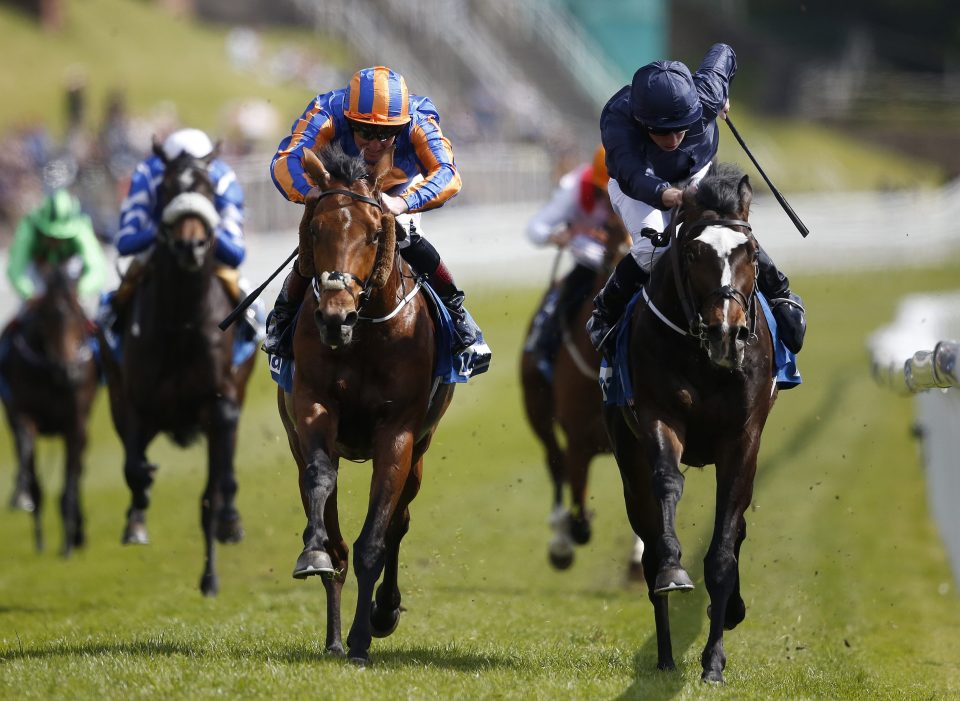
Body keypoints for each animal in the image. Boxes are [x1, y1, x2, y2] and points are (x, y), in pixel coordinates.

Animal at [0, 262, 98, 552]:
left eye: (78, 316)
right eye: (45, 317)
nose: (68, 372)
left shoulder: (75, 423)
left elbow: (70, 483)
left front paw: (68, 543)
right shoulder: (23, 414)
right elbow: (28, 463)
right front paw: (21, 497)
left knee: (79, 471)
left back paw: (77, 533)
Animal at [98, 144, 255, 596]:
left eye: (208, 189)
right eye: (166, 188)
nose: (192, 245)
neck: (182, 322)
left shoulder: (218, 406)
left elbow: (211, 495)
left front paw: (210, 578)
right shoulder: (134, 403)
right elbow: (133, 469)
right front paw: (141, 501)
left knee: (227, 470)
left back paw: (230, 521)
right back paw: (136, 518)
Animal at [280, 144, 456, 660]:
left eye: (375, 232)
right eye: (315, 229)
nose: (334, 317)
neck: (364, 335)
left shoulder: (398, 433)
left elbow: (375, 540)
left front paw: (363, 637)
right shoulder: (313, 408)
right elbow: (322, 487)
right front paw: (314, 553)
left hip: (420, 451)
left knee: (399, 521)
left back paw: (380, 613)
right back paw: (333, 637)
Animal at [608, 163, 780, 680]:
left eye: (750, 251)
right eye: (692, 252)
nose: (727, 332)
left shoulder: (743, 437)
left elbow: (726, 540)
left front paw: (714, 660)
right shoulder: (657, 416)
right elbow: (668, 484)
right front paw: (673, 571)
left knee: (737, 527)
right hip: (626, 454)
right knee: (646, 535)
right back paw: (665, 653)